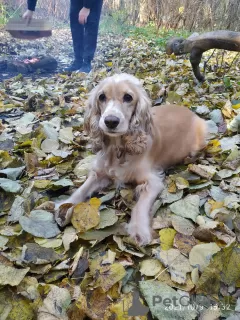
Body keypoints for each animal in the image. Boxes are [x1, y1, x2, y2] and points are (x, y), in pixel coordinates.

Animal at [55, 74, 206, 245]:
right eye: (101, 96)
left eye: (128, 97)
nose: (111, 121)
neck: (118, 149)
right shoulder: (99, 173)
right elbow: (83, 188)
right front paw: (65, 205)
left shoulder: (153, 181)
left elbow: (139, 205)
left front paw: (139, 229)